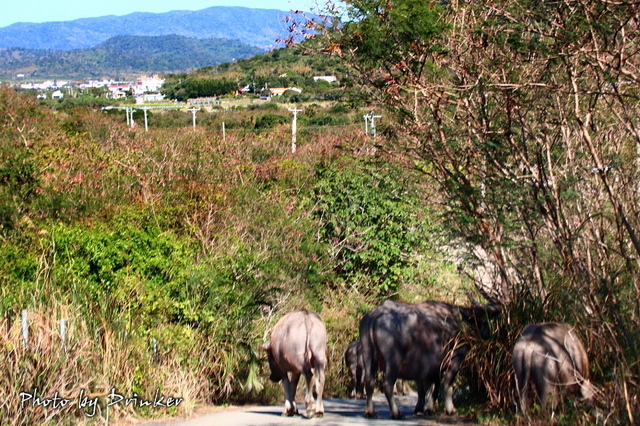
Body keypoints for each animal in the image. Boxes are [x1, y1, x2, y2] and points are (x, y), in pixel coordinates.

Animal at [360, 300, 500, 420]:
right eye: (486, 318)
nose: (490, 332)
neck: (461, 322)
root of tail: (375, 315)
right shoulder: (456, 357)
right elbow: (446, 384)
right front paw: (450, 409)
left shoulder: (432, 367)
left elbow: (430, 388)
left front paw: (429, 409)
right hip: (394, 360)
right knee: (388, 384)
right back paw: (396, 413)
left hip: (368, 355)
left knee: (369, 381)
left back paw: (370, 412)